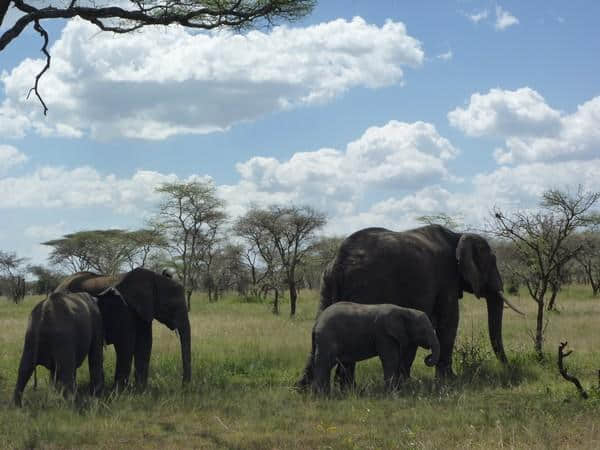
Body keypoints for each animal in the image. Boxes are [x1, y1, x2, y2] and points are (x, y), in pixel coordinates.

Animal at [56, 268, 190, 390]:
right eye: (171, 306)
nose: (183, 387)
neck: (154, 277)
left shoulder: (143, 310)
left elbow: (145, 343)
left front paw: (140, 391)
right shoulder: (124, 307)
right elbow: (126, 344)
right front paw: (119, 393)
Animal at [310, 302, 440, 394]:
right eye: (423, 331)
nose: (427, 357)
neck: (406, 310)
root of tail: (317, 322)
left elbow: (397, 360)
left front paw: (398, 391)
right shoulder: (384, 334)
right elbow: (391, 360)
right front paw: (392, 394)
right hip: (327, 337)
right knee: (325, 363)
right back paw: (324, 396)